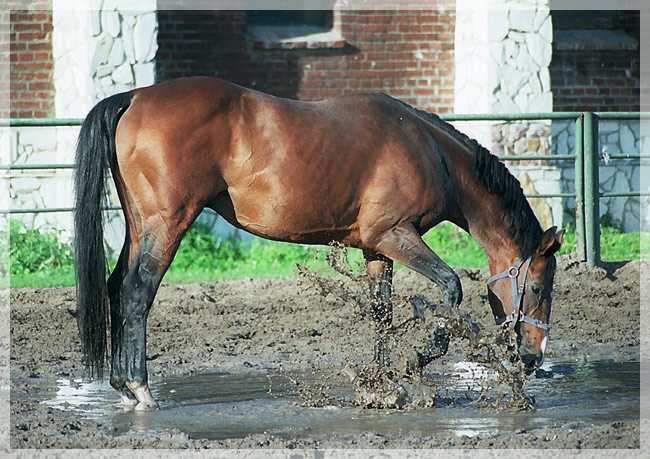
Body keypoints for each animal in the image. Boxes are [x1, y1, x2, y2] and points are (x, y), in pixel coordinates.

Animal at [74, 77, 560, 412]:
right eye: (538, 287)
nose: (534, 357)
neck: (428, 151)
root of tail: (135, 97)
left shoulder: (376, 249)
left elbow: (381, 313)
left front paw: (380, 384)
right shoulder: (394, 235)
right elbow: (450, 288)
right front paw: (418, 358)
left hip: (141, 226)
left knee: (116, 287)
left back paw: (121, 386)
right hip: (168, 223)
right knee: (137, 292)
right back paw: (140, 388)